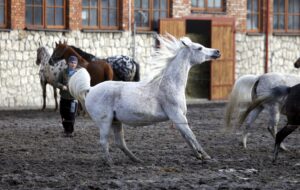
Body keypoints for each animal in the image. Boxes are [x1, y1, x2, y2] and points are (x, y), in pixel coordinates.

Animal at [69, 34, 221, 165]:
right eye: (199, 48)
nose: (217, 52)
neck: (170, 84)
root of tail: (90, 89)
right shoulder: (178, 116)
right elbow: (191, 136)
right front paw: (206, 156)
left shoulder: (179, 119)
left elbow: (187, 137)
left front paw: (199, 156)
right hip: (105, 122)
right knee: (104, 141)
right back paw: (109, 162)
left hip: (116, 122)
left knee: (120, 143)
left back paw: (136, 159)